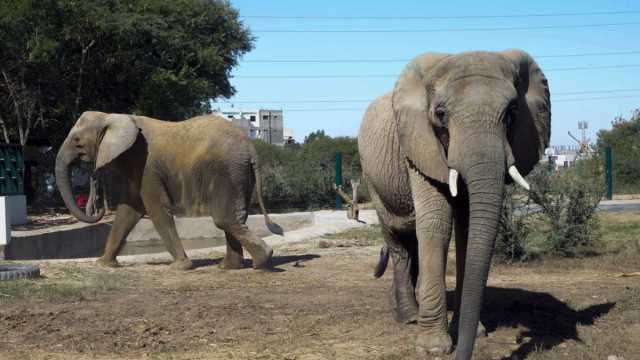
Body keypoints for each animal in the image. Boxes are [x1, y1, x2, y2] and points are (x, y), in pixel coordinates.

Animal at [55, 112, 282, 270]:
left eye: (77, 141)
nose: (97, 205)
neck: (111, 116)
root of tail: (250, 148)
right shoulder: (136, 168)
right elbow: (129, 210)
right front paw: (104, 265)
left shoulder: (147, 166)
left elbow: (155, 208)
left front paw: (181, 267)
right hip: (239, 173)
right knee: (233, 217)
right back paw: (229, 267)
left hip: (227, 171)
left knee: (224, 218)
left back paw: (262, 261)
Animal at [360, 50, 552, 360]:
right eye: (440, 114)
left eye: (512, 113)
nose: (464, 353)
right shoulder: (419, 146)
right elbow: (436, 222)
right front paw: (433, 348)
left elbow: (468, 224)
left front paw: (474, 333)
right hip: (372, 178)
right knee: (398, 240)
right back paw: (408, 317)